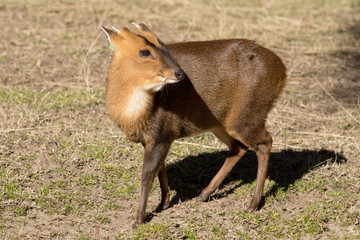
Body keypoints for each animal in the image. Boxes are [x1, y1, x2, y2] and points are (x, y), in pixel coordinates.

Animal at [101, 23, 286, 227]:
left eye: (162, 44)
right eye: (144, 51)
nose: (179, 73)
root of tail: (282, 70)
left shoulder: (162, 133)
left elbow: (147, 174)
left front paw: (139, 219)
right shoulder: (153, 138)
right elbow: (160, 169)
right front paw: (163, 203)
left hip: (247, 116)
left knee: (265, 142)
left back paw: (253, 203)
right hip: (221, 124)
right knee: (239, 148)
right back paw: (205, 194)